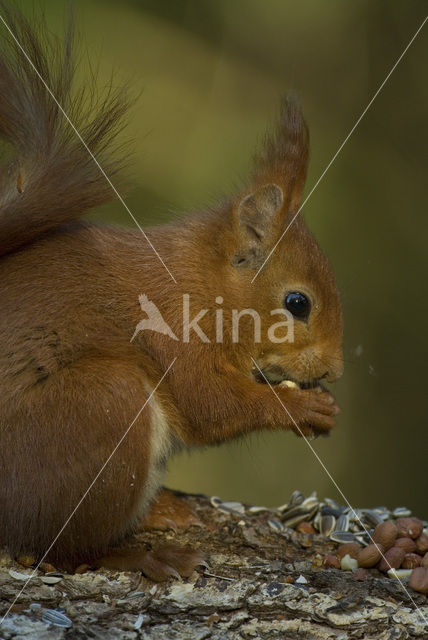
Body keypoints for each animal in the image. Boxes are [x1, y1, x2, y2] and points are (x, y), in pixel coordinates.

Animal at [0, 6, 342, 580]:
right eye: (298, 303)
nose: (335, 370)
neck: (201, 286)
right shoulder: (172, 330)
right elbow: (210, 404)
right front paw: (301, 409)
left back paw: (161, 510)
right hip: (100, 407)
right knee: (60, 549)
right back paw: (143, 554)